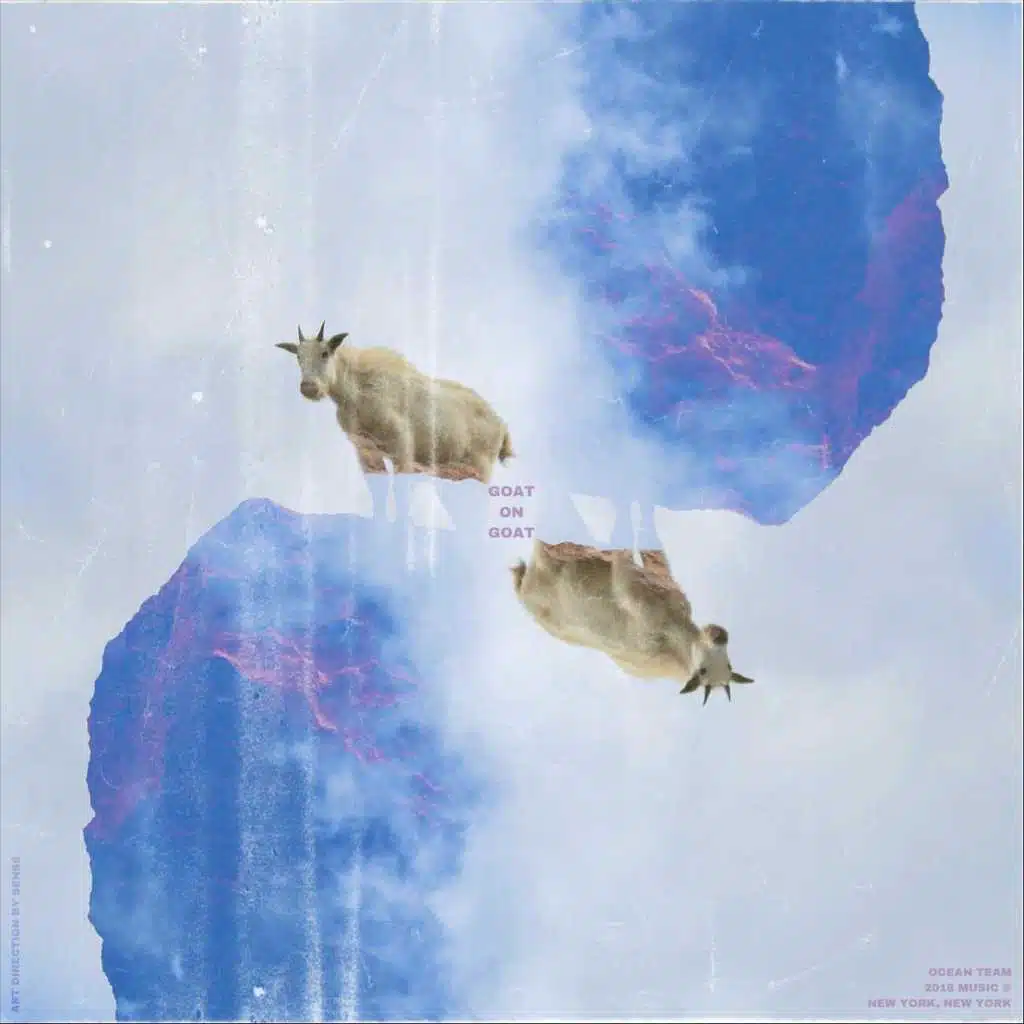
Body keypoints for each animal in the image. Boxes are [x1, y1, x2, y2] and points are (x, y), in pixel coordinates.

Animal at [275, 322, 515, 486]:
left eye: (325, 353)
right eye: (298, 357)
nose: (308, 387)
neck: (356, 391)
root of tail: (502, 426)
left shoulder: (403, 447)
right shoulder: (366, 451)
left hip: (481, 468)